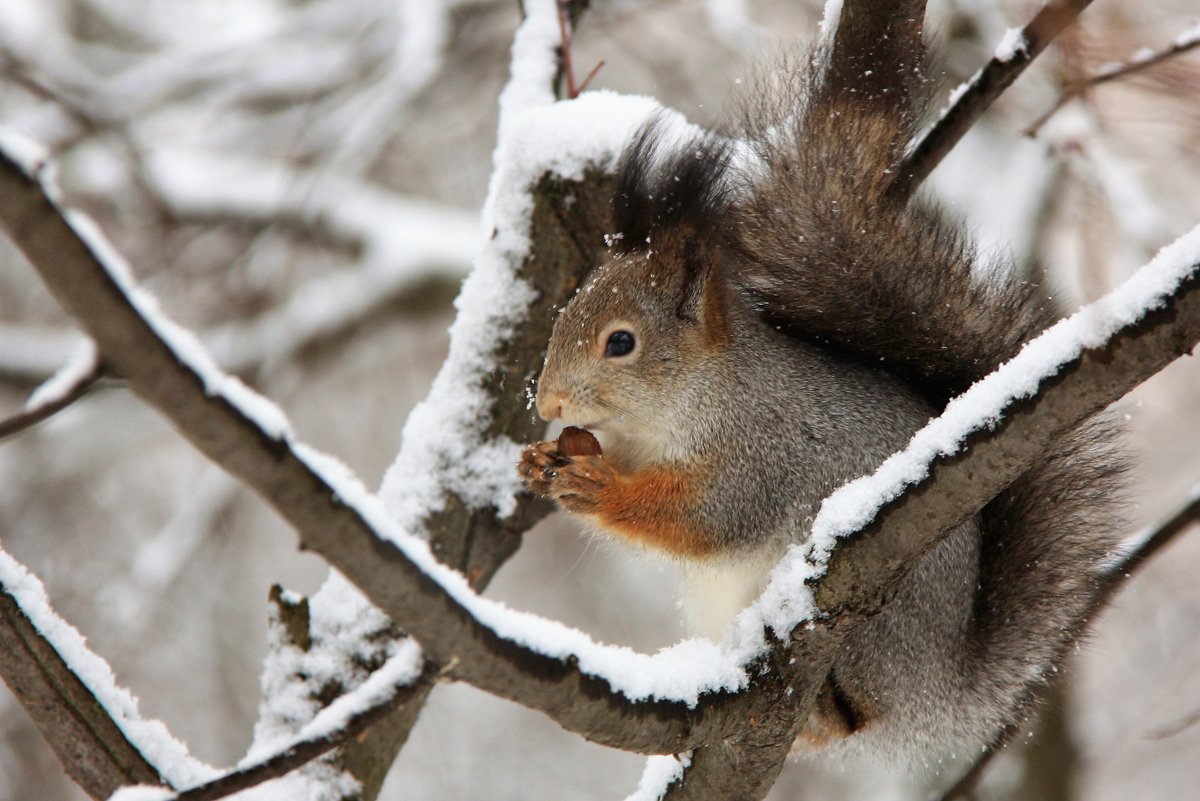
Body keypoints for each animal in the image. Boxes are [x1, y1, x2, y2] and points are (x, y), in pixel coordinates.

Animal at [513, 42, 1123, 762]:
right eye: (565, 313)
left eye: (621, 342)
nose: (549, 403)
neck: (687, 403)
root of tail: (943, 688)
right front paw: (539, 461)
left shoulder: (761, 453)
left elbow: (702, 517)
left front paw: (597, 486)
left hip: (875, 632)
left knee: (855, 716)